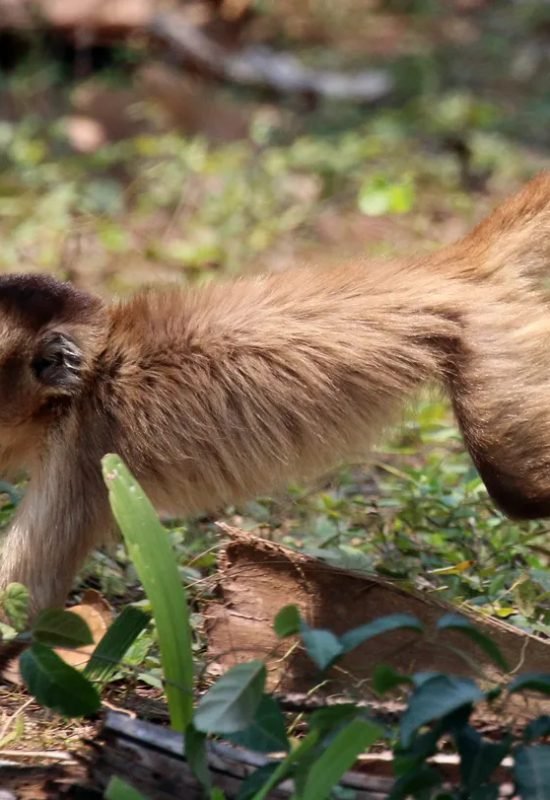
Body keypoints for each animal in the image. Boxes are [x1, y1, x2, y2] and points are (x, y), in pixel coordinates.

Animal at [0, 172, 548, 616]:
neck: (95, 376)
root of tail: (456, 267)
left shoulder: (79, 450)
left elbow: (23, 599)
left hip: (492, 339)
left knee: (519, 491)